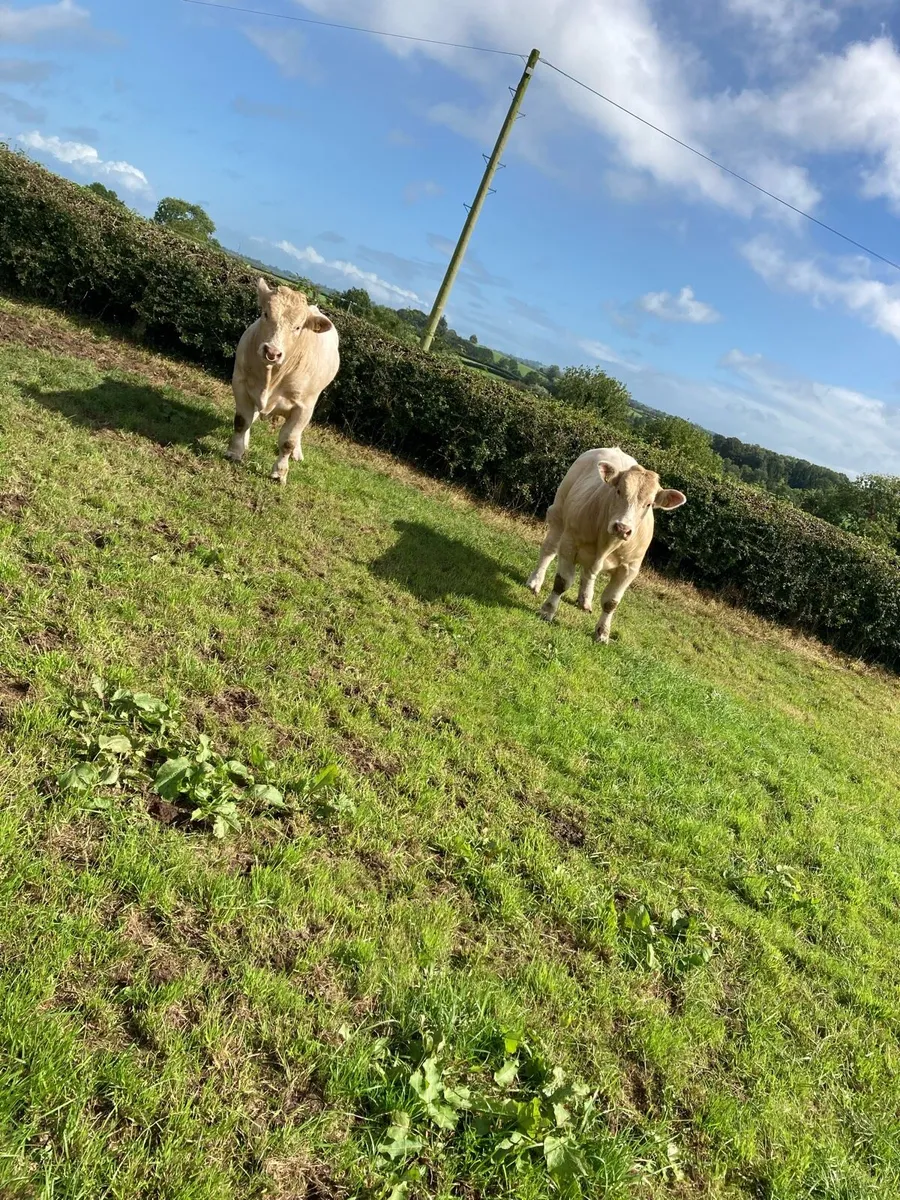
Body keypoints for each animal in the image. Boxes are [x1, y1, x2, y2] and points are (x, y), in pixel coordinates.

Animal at [226, 278, 340, 484]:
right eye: (265, 313)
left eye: (298, 327)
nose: (272, 352)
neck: (271, 376)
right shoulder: (240, 383)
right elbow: (241, 420)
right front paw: (235, 452)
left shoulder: (304, 407)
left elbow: (288, 441)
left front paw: (280, 472)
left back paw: (297, 454)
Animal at [527, 447, 686, 643]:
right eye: (618, 491)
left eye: (649, 504)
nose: (622, 527)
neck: (608, 543)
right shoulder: (569, 544)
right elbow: (561, 582)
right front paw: (547, 610)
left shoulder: (630, 568)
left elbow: (611, 602)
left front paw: (602, 634)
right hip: (558, 513)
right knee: (549, 550)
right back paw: (535, 582)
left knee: (588, 573)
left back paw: (585, 600)